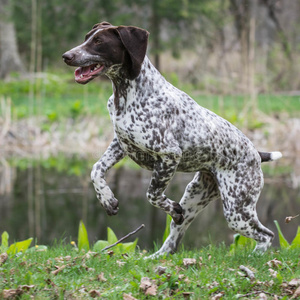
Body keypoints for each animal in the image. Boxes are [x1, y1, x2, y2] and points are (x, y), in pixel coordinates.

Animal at [62, 21, 282, 255]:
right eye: (87, 37)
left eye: (99, 41)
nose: (66, 56)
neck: (127, 94)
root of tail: (256, 154)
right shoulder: (121, 144)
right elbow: (96, 170)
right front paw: (107, 200)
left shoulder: (169, 156)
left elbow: (152, 194)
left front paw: (169, 206)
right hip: (195, 198)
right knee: (173, 240)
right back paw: (154, 258)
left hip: (236, 210)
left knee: (266, 235)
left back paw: (255, 256)